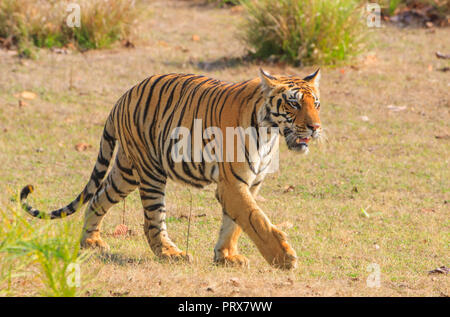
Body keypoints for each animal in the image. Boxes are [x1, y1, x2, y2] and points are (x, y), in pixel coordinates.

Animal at [21, 68, 322, 268]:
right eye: (294, 103)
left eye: (316, 103)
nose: (315, 127)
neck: (270, 132)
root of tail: (123, 96)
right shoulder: (232, 182)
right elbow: (254, 218)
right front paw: (283, 257)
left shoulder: (251, 182)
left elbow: (234, 223)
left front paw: (226, 256)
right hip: (150, 172)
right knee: (152, 221)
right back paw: (170, 253)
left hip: (126, 171)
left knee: (98, 197)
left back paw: (90, 242)